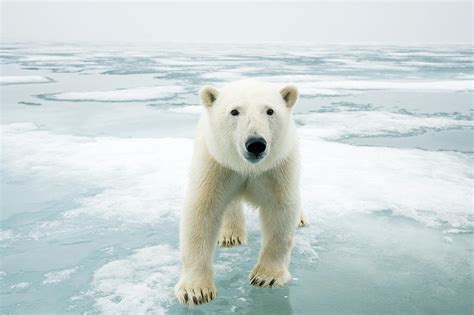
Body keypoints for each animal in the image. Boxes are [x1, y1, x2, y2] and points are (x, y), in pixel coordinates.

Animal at [174, 80, 308, 308]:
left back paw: (300, 218)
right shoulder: (217, 164)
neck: (248, 167)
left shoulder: (277, 167)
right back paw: (230, 235)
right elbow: (201, 211)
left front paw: (266, 277)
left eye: (270, 111)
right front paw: (196, 291)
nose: (255, 143)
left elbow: (280, 210)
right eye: (234, 111)